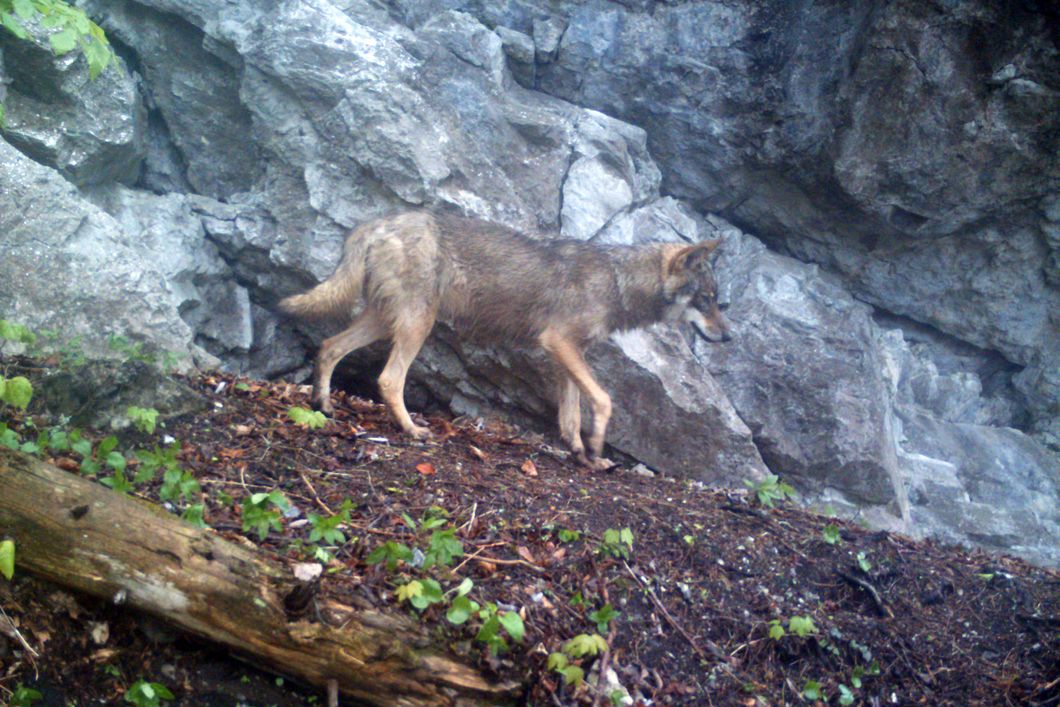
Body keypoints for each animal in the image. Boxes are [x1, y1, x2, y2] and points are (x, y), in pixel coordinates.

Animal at [279, 212, 731, 470]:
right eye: (706, 300)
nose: (728, 335)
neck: (618, 281)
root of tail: (375, 224)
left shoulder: (566, 356)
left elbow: (570, 416)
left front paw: (582, 455)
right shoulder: (560, 344)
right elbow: (603, 401)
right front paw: (597, 447)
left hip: (385, 321)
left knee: (329, 348)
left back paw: (323, 406)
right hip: (417, 325)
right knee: (389, 379)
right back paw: (412, 431)